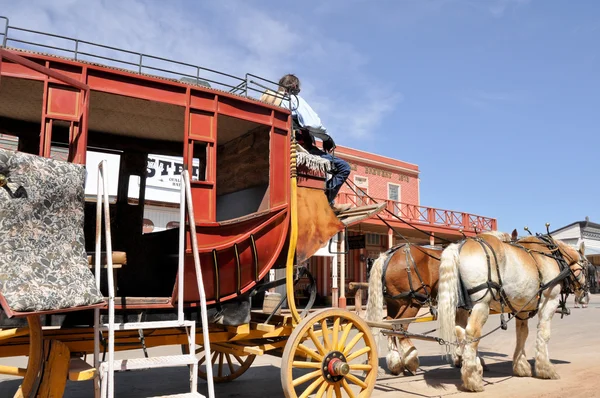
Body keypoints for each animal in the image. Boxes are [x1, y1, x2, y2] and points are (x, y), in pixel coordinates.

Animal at [436, 230, 584, 392]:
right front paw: (546, 369)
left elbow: (522, 334)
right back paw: (473, 378)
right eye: (586, 267)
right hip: (481, 303)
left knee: (460, 331)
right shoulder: (549, 300)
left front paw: (521, 366)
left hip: (462, 307)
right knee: (472, 333)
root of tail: (459, 247)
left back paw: (473, 364)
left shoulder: (522, 308)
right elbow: (544, 334)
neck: (551, 254)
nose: (585, 293)